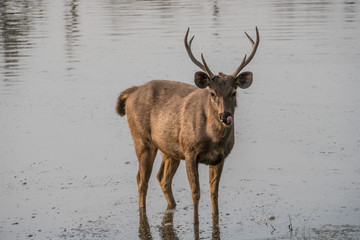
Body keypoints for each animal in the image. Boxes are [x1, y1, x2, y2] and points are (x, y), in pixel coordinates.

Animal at [116, 27, 260, 224]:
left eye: (234, 92)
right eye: (212, 93)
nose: (225, 116)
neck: (214, 138)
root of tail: (131, 92)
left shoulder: (221, 156)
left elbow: (214, 192)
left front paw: (216, 219)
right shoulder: (190, 150)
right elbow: (195, 192)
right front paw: (195, 222)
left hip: (169, 149)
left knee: (162, 178)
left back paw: (171, 207)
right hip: (142, 140)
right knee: (141, 179)